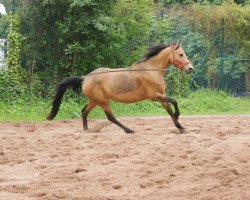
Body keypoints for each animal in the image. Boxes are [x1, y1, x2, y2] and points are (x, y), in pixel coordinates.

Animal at [47, 41, 194, 134]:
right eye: (181, 54)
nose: (190, 69)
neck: (151, 70)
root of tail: (86, 78)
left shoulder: (161, 96)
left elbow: (169, 110)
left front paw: (181, 127)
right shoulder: (154, 96)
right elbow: (174, 101)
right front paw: (178, 116)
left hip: (94, 101)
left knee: (84, 111)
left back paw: (87, 130)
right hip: (103, 102)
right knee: (110, 117)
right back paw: (129, 130)